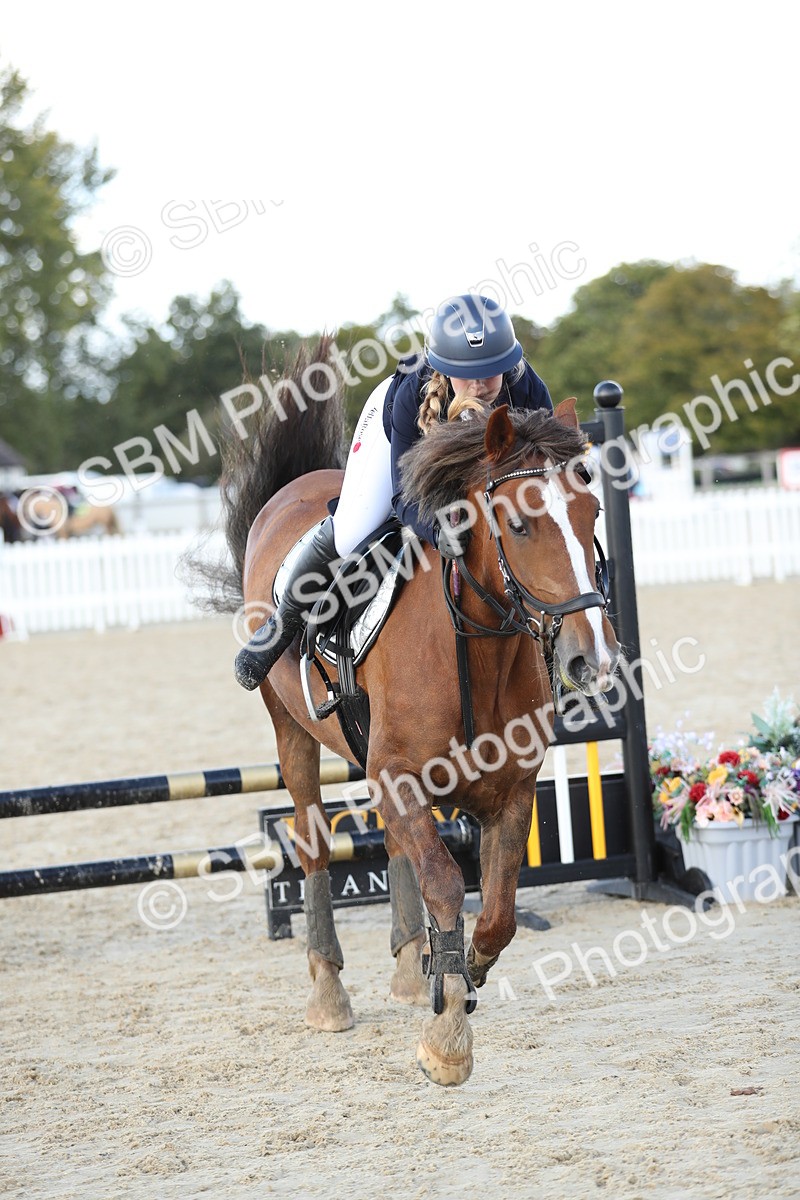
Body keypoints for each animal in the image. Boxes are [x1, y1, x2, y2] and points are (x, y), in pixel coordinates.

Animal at [211, 339, 620, 1086]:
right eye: (519, 522)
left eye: (592, 516)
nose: (591, 660)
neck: (477, 642)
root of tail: (294, 487)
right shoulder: (396, 772)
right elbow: (445, 880)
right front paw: (448, 1034)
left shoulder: (508, 789)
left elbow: (497, 911)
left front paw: (458, 971)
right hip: (291, 730)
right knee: (314, 841)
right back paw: (329, 992)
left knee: (397, 845)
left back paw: (407, 969)